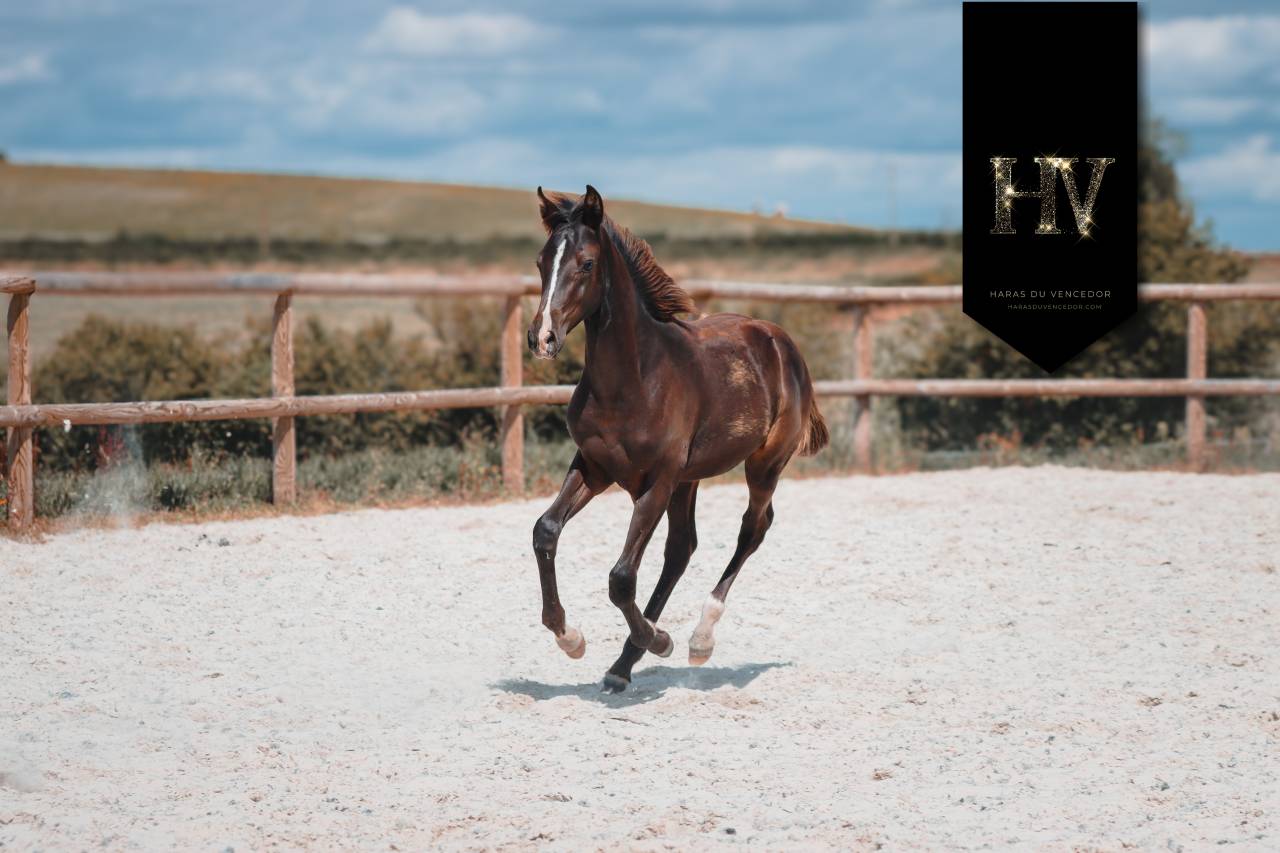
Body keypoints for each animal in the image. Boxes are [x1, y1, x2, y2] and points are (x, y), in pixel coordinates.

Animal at [527, 185, 828, 693]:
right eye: (541, 261)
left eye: (586, 264)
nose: (542, 337)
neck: (634, 380)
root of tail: (781, 341)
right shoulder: (594, 466)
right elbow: (546, 531)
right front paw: (571, 638)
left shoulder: (657, 480)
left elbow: (621, 577)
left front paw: (660, 640)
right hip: (690, 479)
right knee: (681, 549)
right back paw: (623, 664)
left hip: (763, 464)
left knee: (752, 528)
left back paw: (697, 639)